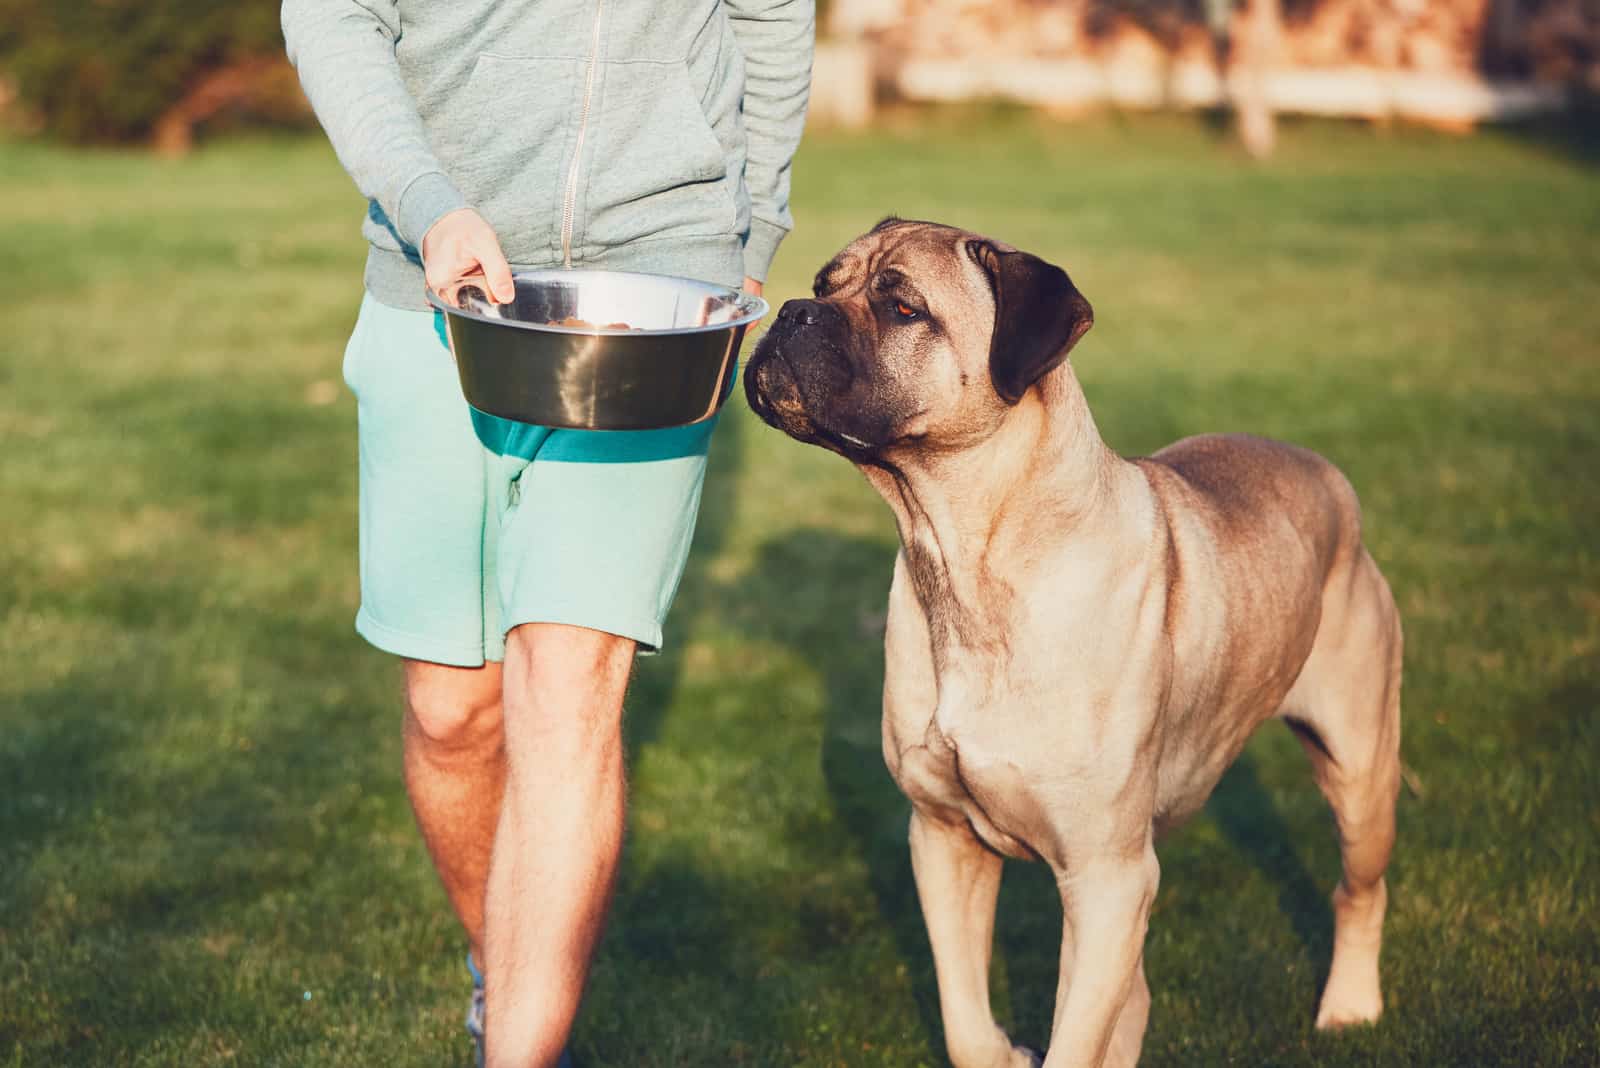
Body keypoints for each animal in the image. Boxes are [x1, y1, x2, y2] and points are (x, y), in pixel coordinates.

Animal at [739, 219, 1401, 1068]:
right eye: (826, 285)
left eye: (903, 308)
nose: (791, 311)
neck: (964, 558)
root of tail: (1328, 476)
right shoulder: (944, 838)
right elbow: (962, 1013)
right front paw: (1000, 1053)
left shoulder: (1104, 874)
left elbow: (1075, 1037)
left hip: (1358, 765)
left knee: (1360, 888)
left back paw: (1350, 1006)